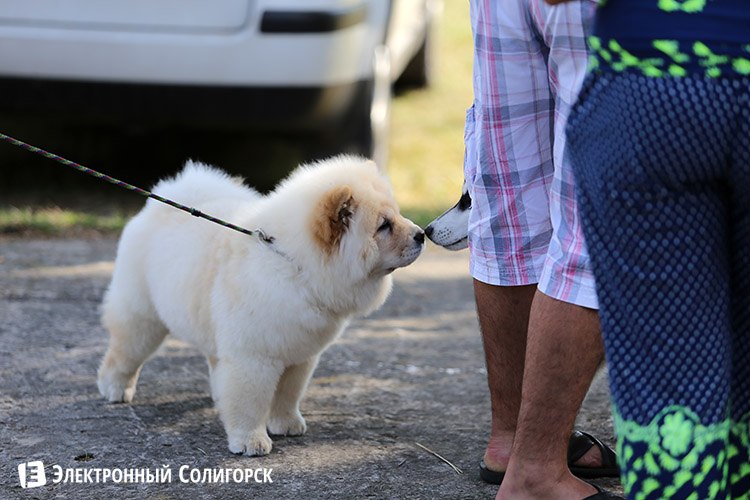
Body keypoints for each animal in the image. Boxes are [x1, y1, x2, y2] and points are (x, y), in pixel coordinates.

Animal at [97, 156, 425, 456]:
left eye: (397, 215)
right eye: (383, 225)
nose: (421, 234)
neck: (296, 268)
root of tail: (158, 206)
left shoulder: (300, 355)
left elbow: (288, 395)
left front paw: (287, 424)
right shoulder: (253, 356)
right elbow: (250, 403)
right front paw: (250, 442)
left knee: (214, 360)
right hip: (142, 317)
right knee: (123, 353)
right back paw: (114, 389)